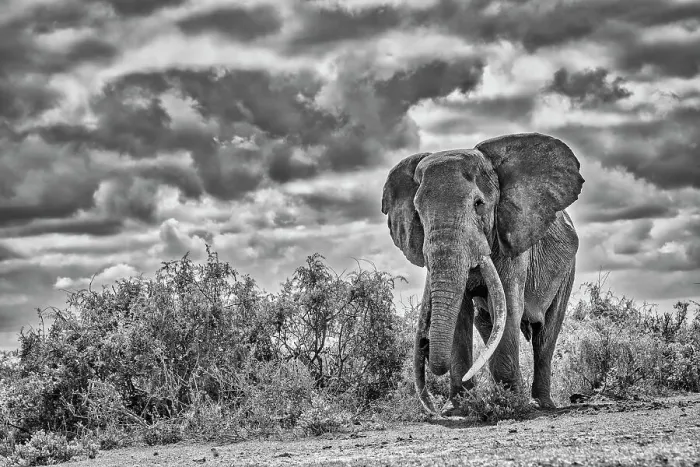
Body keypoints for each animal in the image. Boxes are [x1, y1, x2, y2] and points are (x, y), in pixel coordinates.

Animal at [381, 133, 584, 414]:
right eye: (418, 212)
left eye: (478, 204)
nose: (434, 409)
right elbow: (461, 313)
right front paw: (456, 409)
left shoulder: (512, 240)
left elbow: (510, 305)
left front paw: (512, 405)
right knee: (488, 324)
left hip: (567, 269)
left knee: (545, 334)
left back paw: (540, 404)